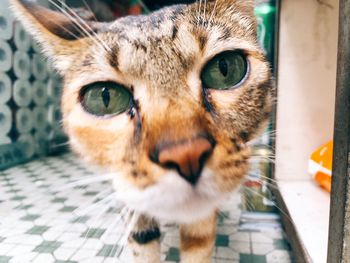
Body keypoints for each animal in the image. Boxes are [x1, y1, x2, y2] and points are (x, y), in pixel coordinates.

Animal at [10, 1, 274, 262]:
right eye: (105, 97)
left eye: (225, 69)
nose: (185, 154)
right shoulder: (126, 186)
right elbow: (141, 238)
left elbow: (198, 242)